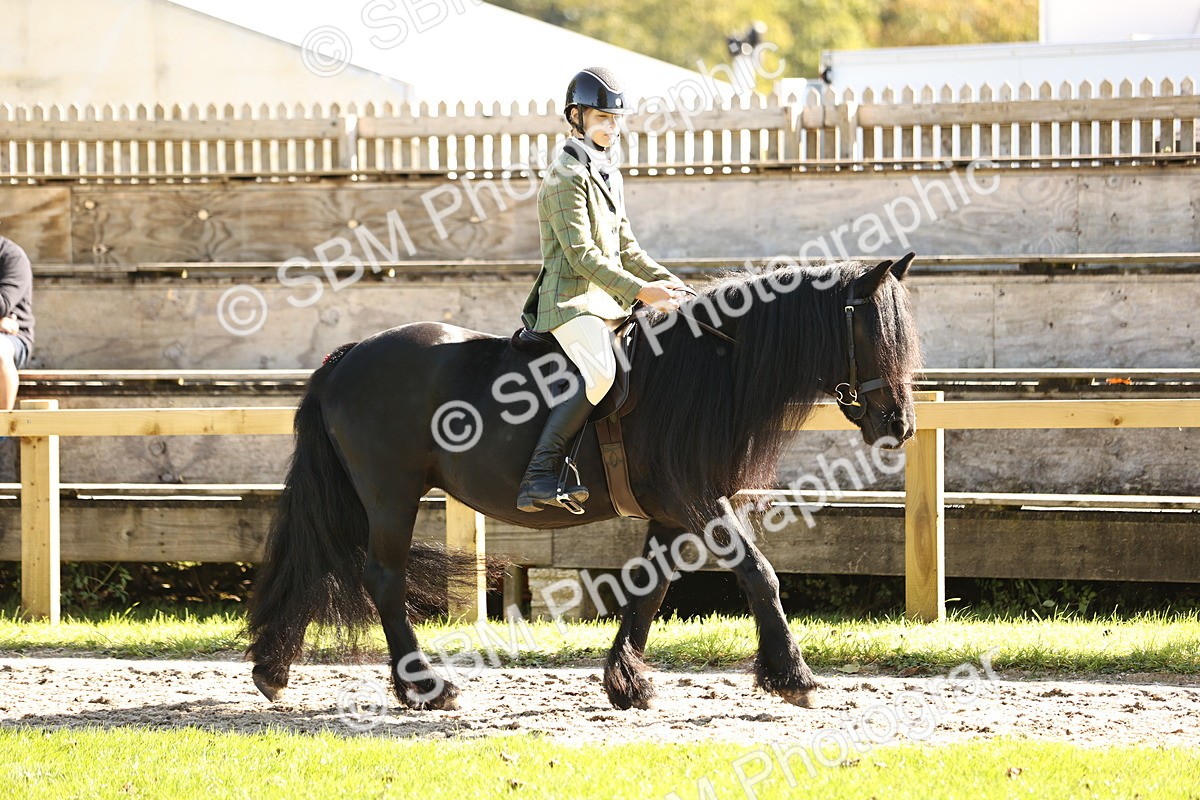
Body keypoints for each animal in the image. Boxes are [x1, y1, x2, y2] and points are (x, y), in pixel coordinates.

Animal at [246, 253, 922, 711]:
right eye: (872, 332)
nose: (900, 425)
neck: (706, 368)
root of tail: (348, 356)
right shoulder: (695, 499)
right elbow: (758, 571)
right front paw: (794, 678)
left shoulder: (672, 511)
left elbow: (650, 589)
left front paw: (627, 683)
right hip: (391, 493)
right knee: (382, 577)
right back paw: (426, 687)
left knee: (319, 562)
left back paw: (274, 671)